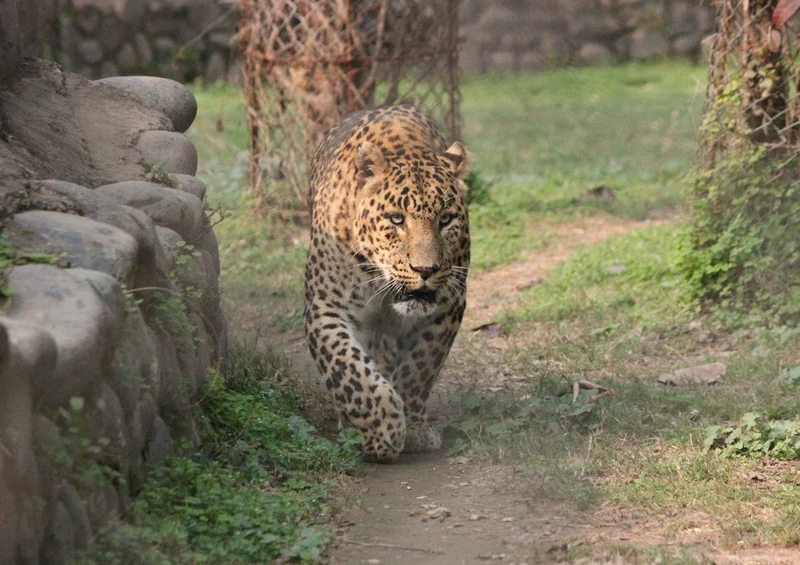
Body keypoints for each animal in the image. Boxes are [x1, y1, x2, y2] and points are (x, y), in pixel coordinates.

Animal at [304, 104, 470, 462]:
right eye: (396, 219)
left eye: (446, 219)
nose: (426, 269)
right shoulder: (326, 307)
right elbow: (349, 370)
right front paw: (382, 430)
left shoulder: (448, 306)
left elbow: (420, 367)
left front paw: (414, 425)